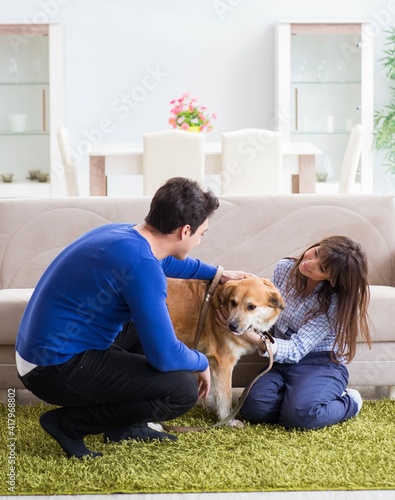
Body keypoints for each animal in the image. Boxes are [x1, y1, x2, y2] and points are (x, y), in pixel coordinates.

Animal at [167, 276, 284, 428]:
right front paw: (228, 419)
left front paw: (212, 407)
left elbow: (214, 390)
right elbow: (226, 395)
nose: (231, 326)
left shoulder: (212, 361)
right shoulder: (224, 362)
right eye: (233, 303)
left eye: (251, 307)